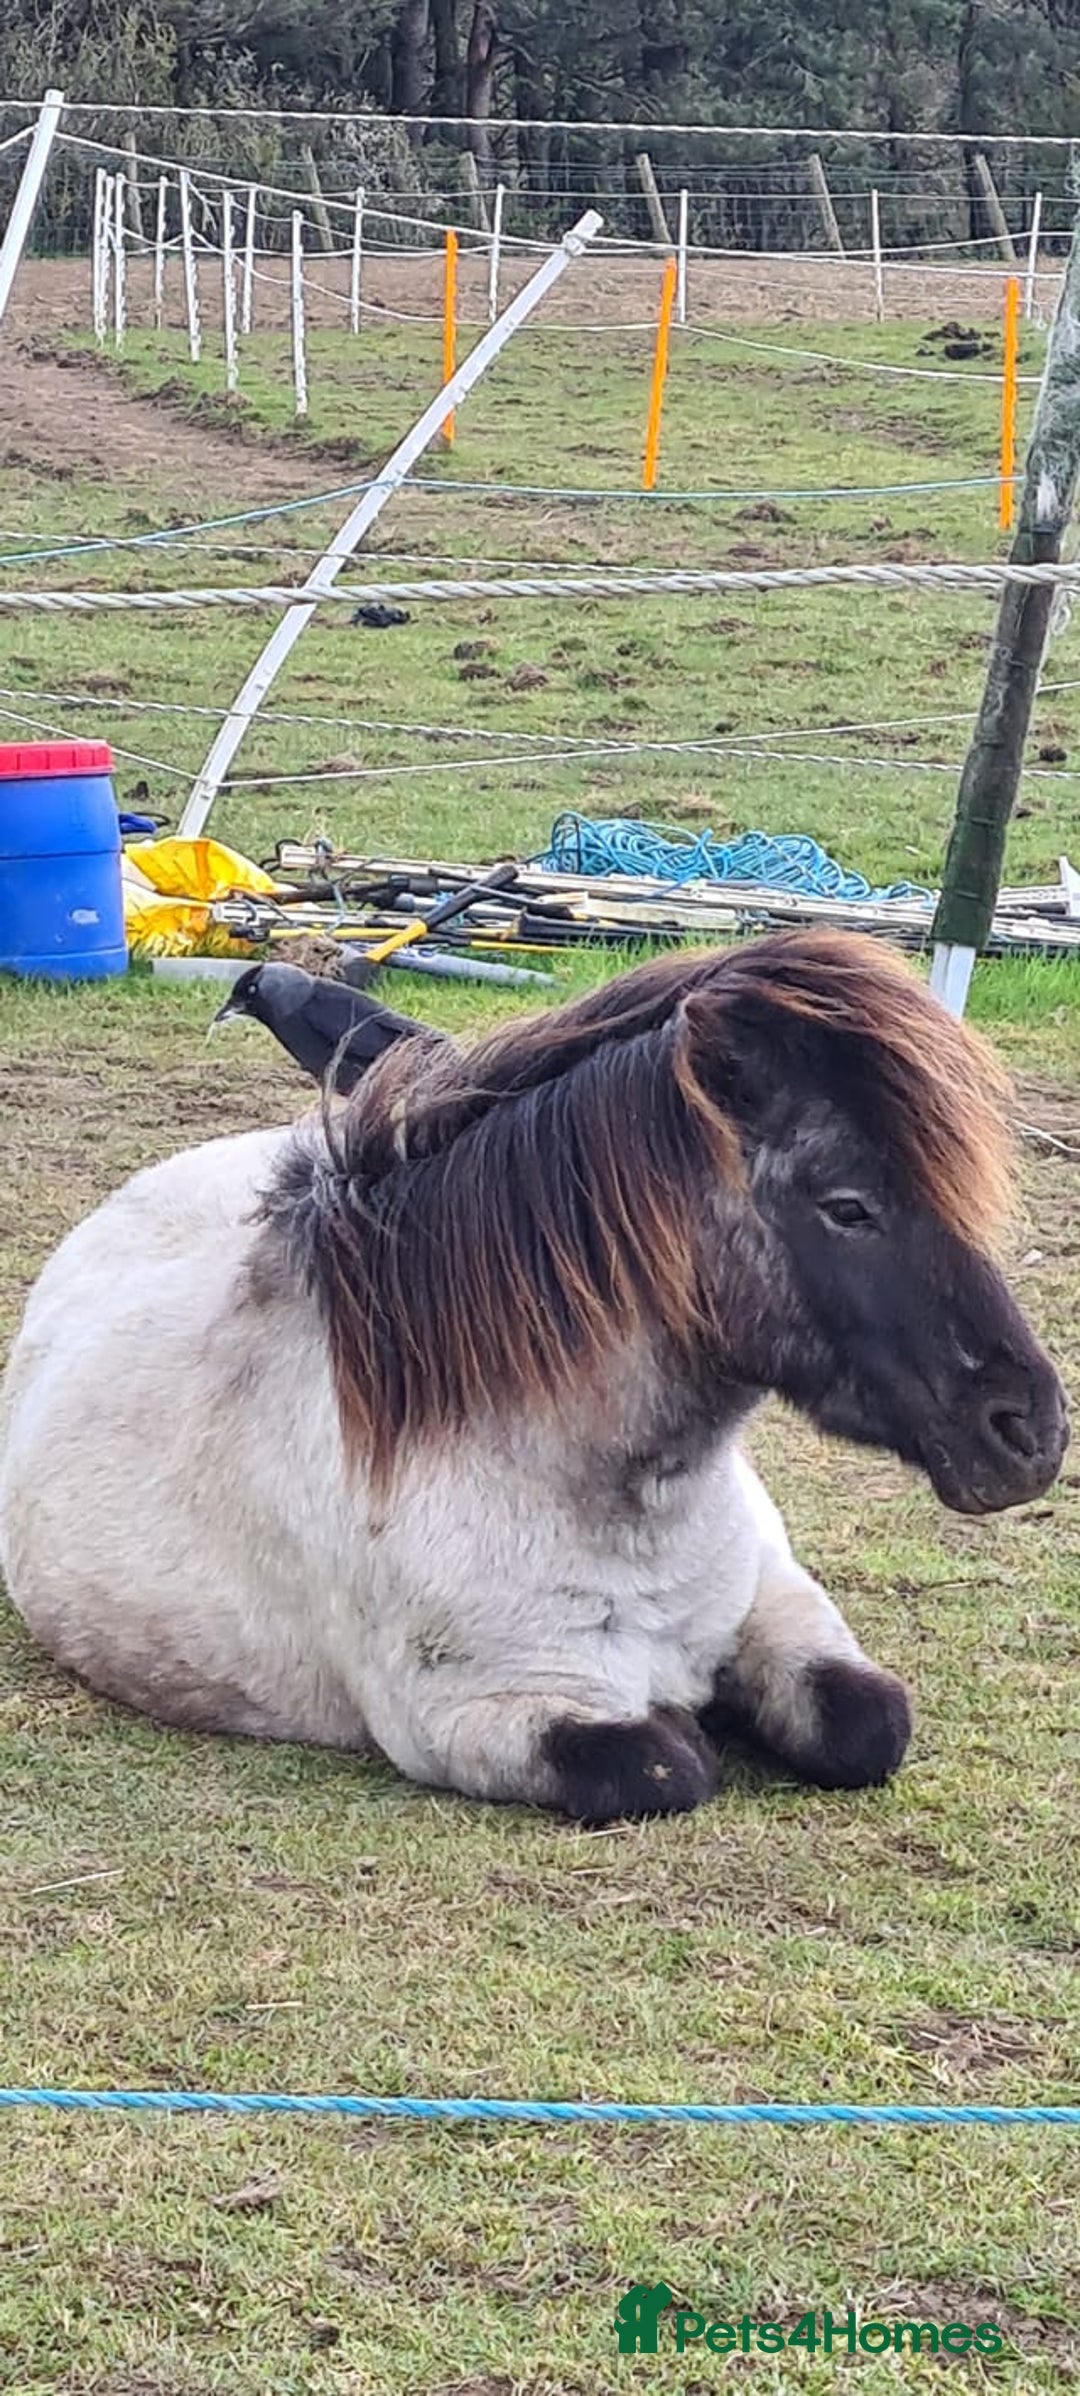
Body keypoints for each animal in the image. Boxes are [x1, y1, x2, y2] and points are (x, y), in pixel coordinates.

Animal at [0, 931, 1068, 1824]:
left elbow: (868, 1723)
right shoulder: (477, 1717)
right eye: (847, 1206)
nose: (1031, 1432)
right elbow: (665, 1762)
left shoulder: (781, 1603)